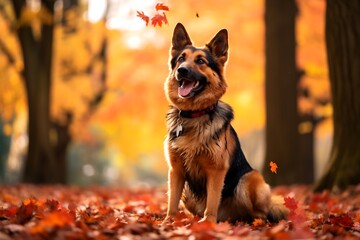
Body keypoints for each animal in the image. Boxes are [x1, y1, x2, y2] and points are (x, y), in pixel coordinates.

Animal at [163, 23, 286, 222]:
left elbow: (212, 201)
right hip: (188, 194)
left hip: (250, 179)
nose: (181, 70)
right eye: (181, 59)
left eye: (201, 61)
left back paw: (253, 221)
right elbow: (172, 201)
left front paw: (208, 223)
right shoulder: (176, 170)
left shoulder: (216, 170)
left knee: (260, 211)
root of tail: (230, 216)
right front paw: (168, 222)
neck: (194, 115)